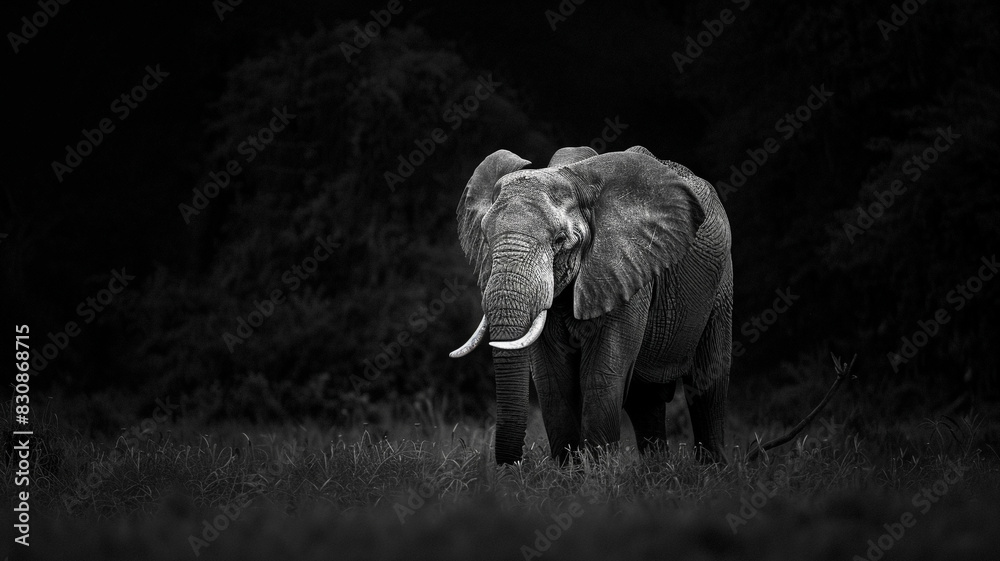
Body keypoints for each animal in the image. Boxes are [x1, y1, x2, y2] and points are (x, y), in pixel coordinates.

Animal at [450, 145, 732, 465]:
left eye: (560, 240)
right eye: (486, 238)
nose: (511, 465)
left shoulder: (626, 269)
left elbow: (602, 375)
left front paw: (597, 473)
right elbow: (553, 381)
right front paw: (570, 473)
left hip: (721, 283)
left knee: (708, 381)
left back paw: (711, 468)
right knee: (645, 399)